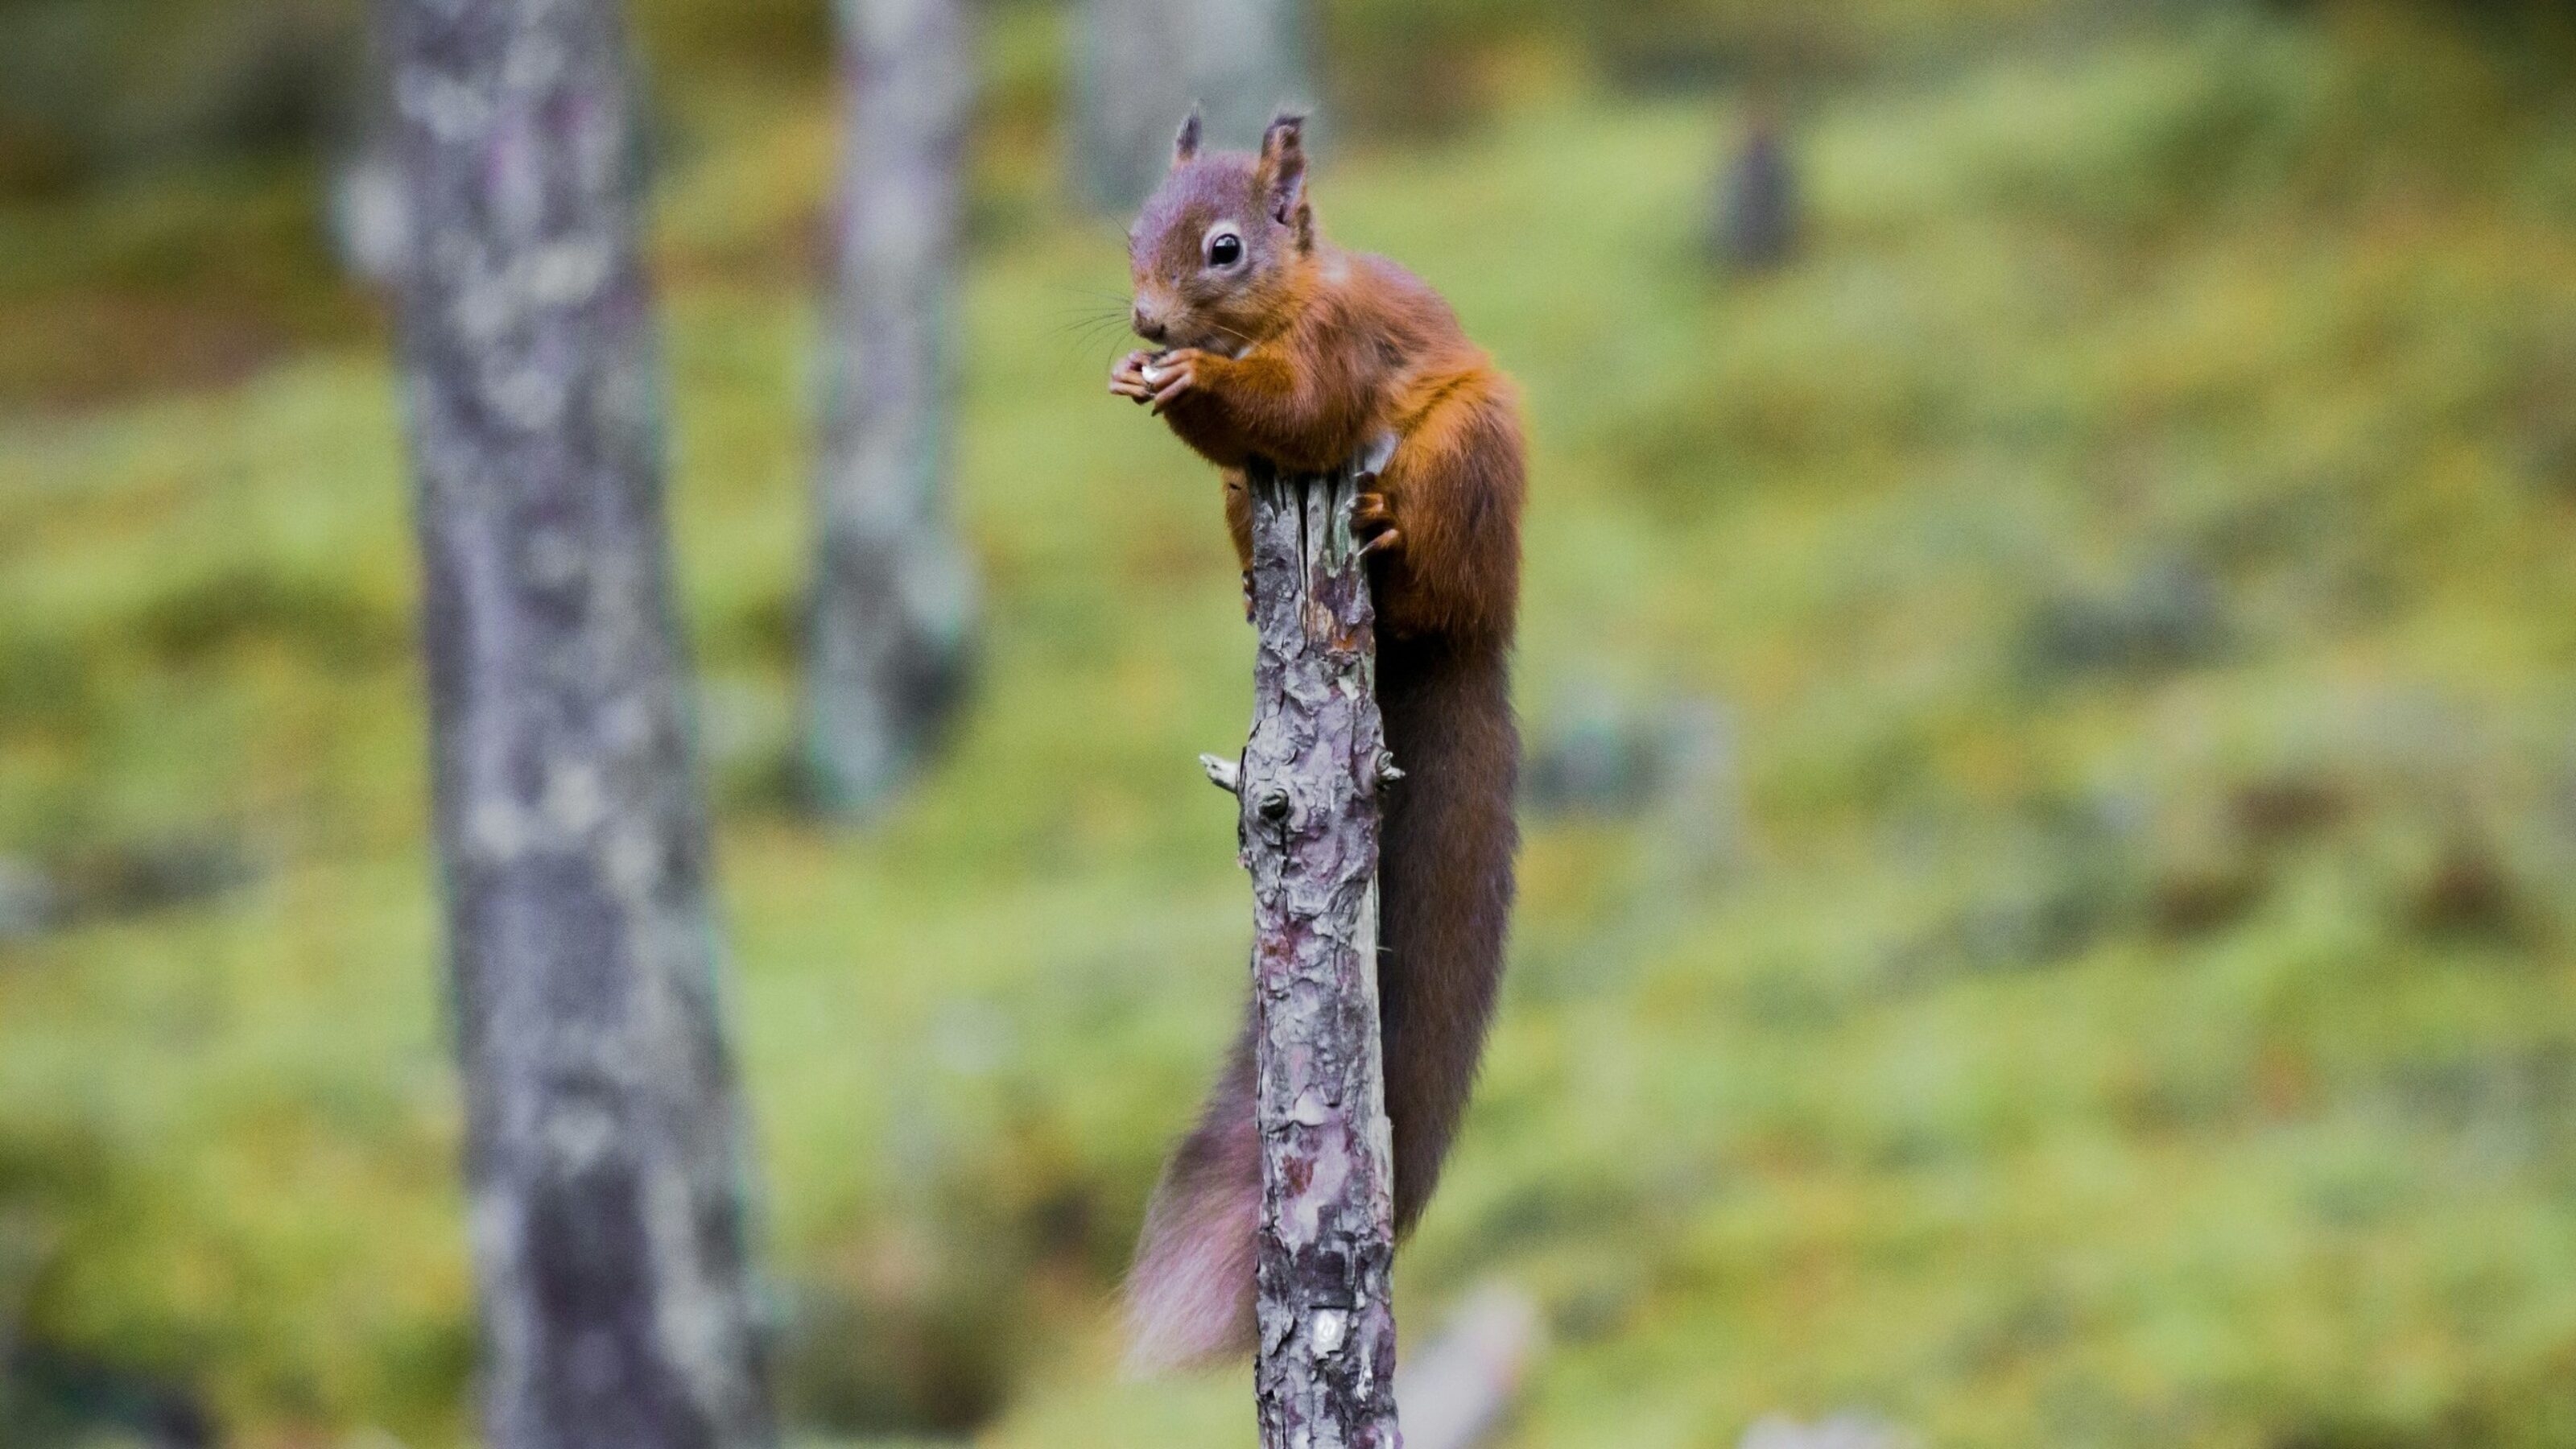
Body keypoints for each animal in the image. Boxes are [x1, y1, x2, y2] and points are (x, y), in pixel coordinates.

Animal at [1108, 108, 1524, 1371]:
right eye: (1133, 235)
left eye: (1225, 248)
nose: (1145, 324)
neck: (1282, 308)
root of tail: (1473, 637)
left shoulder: (1338, 354)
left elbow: (1298, 416)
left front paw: (1191, 381)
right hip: (1247, 507)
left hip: (1471, 454)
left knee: (1429, 555)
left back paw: (1389, 533)